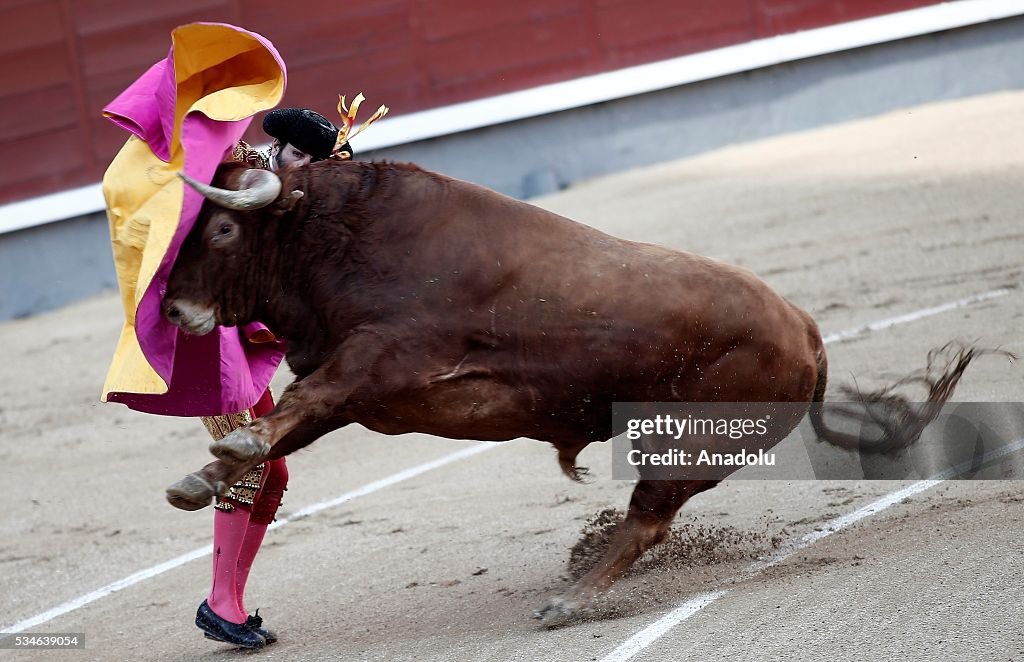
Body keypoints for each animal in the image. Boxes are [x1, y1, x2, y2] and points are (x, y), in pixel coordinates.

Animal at [163, 157, 978, 627]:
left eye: (226, 230)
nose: (171, 309)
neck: (339, 235)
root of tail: (806, 329)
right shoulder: (355, 392)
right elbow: (290, 423)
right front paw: (197, 479)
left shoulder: (384, 357)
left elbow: (297, 407)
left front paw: (228, 448)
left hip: (692, 446)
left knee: (648, 520)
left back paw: (570, 601)